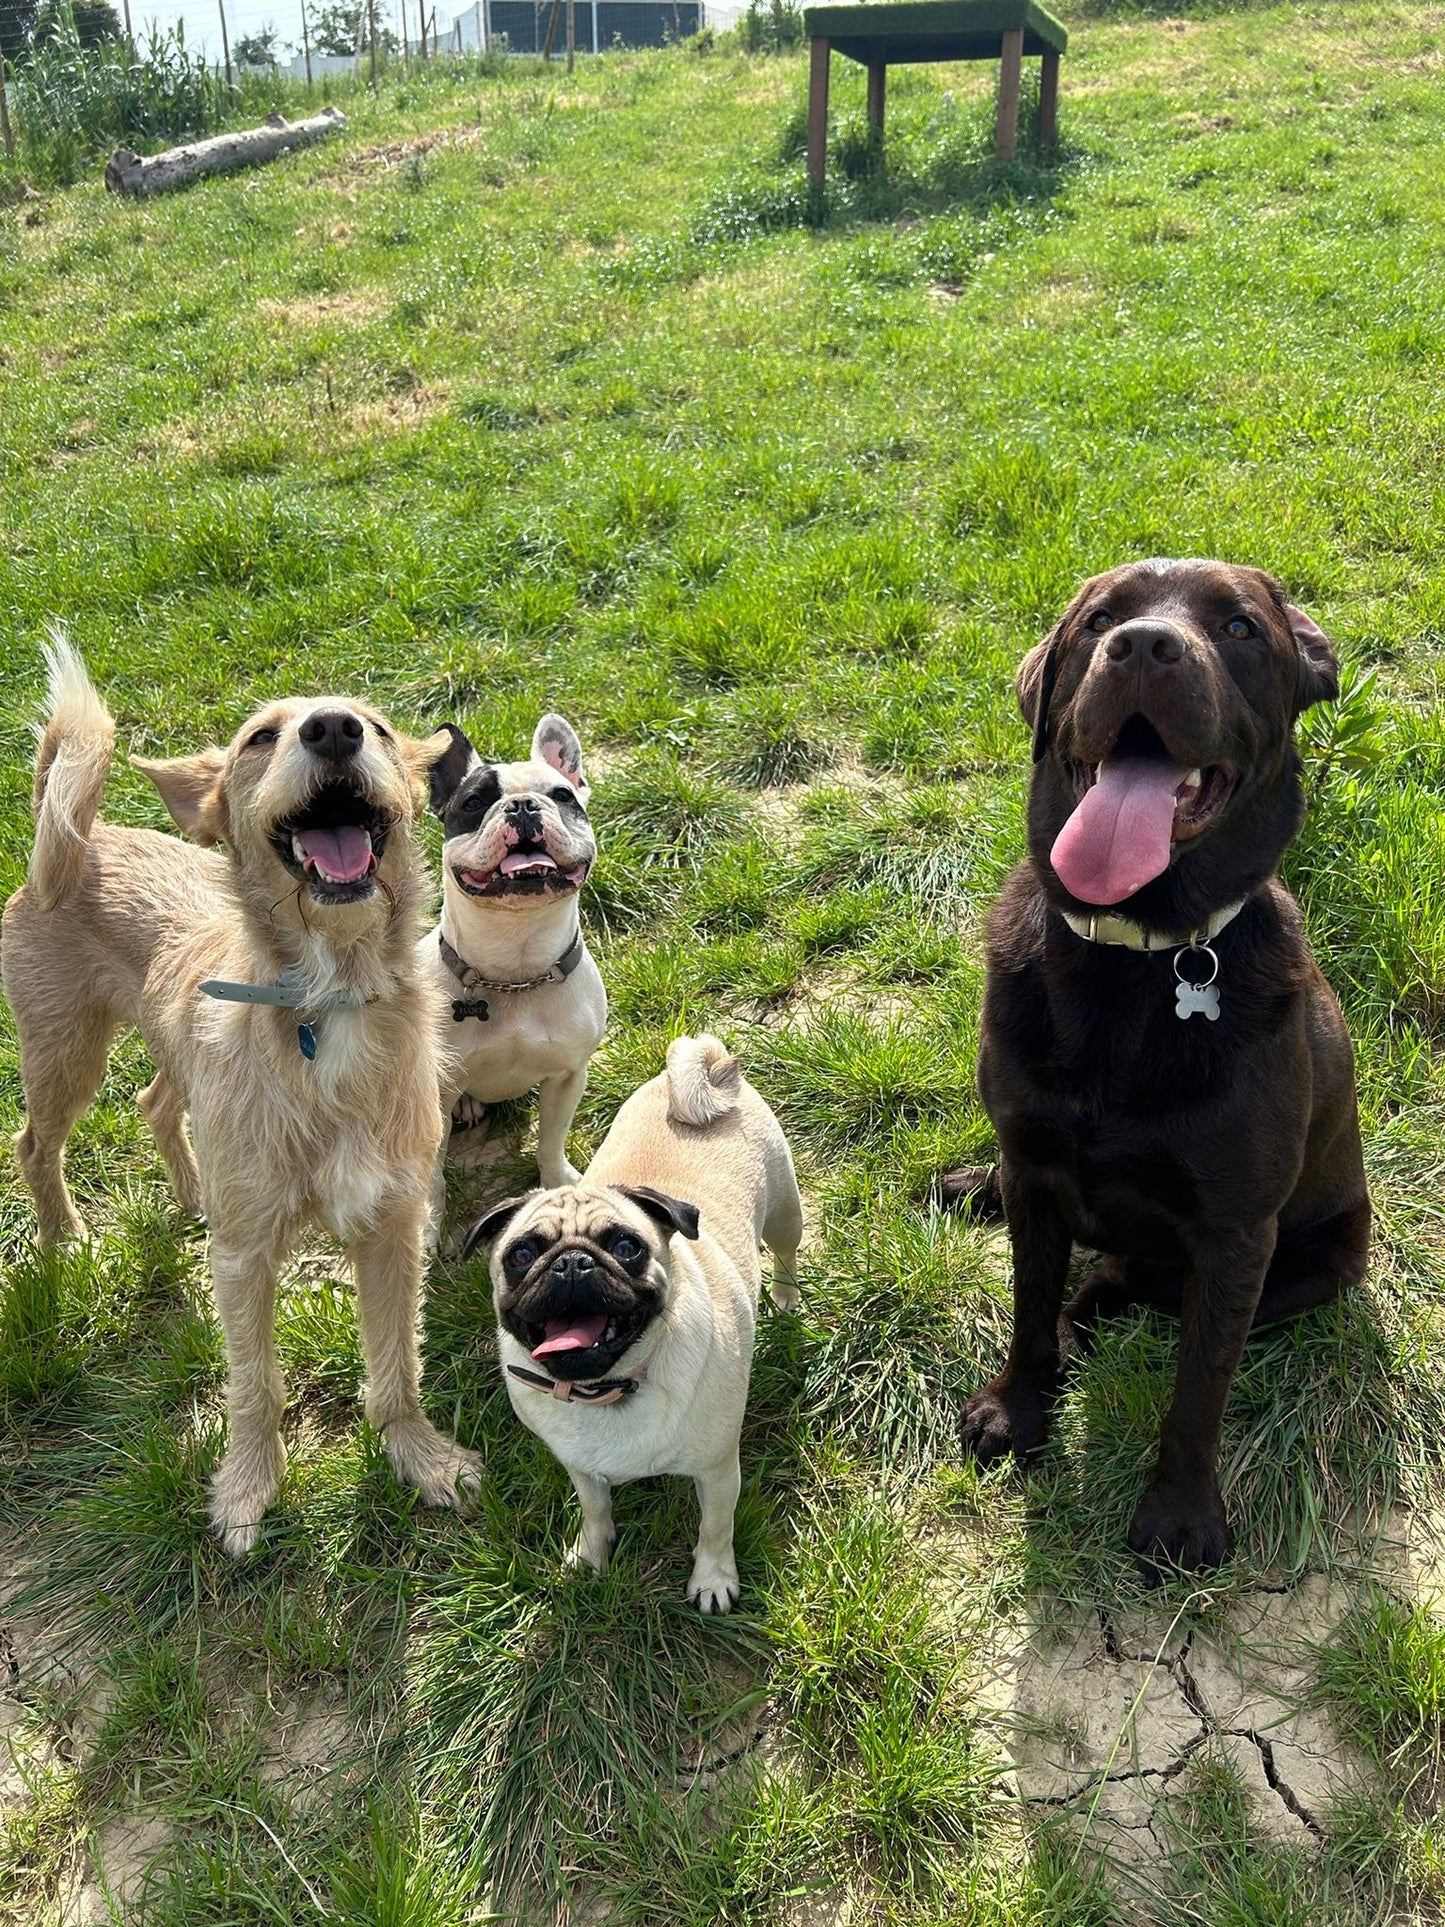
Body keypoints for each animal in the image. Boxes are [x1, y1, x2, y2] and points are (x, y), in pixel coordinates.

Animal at [1, 639, 487, 1557]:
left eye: (374, 725)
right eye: (261, 735)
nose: (331, 730)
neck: (329, 997)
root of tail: (76, 835)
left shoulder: (391, 1228)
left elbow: (396, 1362)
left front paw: (419, 1455)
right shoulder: (245, 1256)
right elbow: (254, 1383)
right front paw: (247, 1488)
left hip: (171, 1049)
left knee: (156, 1100)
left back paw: (191, 1191)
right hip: (64, 1054)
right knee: (34, 1145)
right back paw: (66, 1238)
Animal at [464, 1040, 805, 1610]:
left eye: (627, 1247)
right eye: (521, 1255)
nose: (572, 1262)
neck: (610, 1387)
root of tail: (708, 1064)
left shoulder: (718, 1470)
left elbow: (715, 1528)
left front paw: (713, 1580)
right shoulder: (580, 1467)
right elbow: (595, 1511)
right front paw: (591, 1556)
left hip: (786, 1214)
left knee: (785, 1255)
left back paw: (784, 1296)